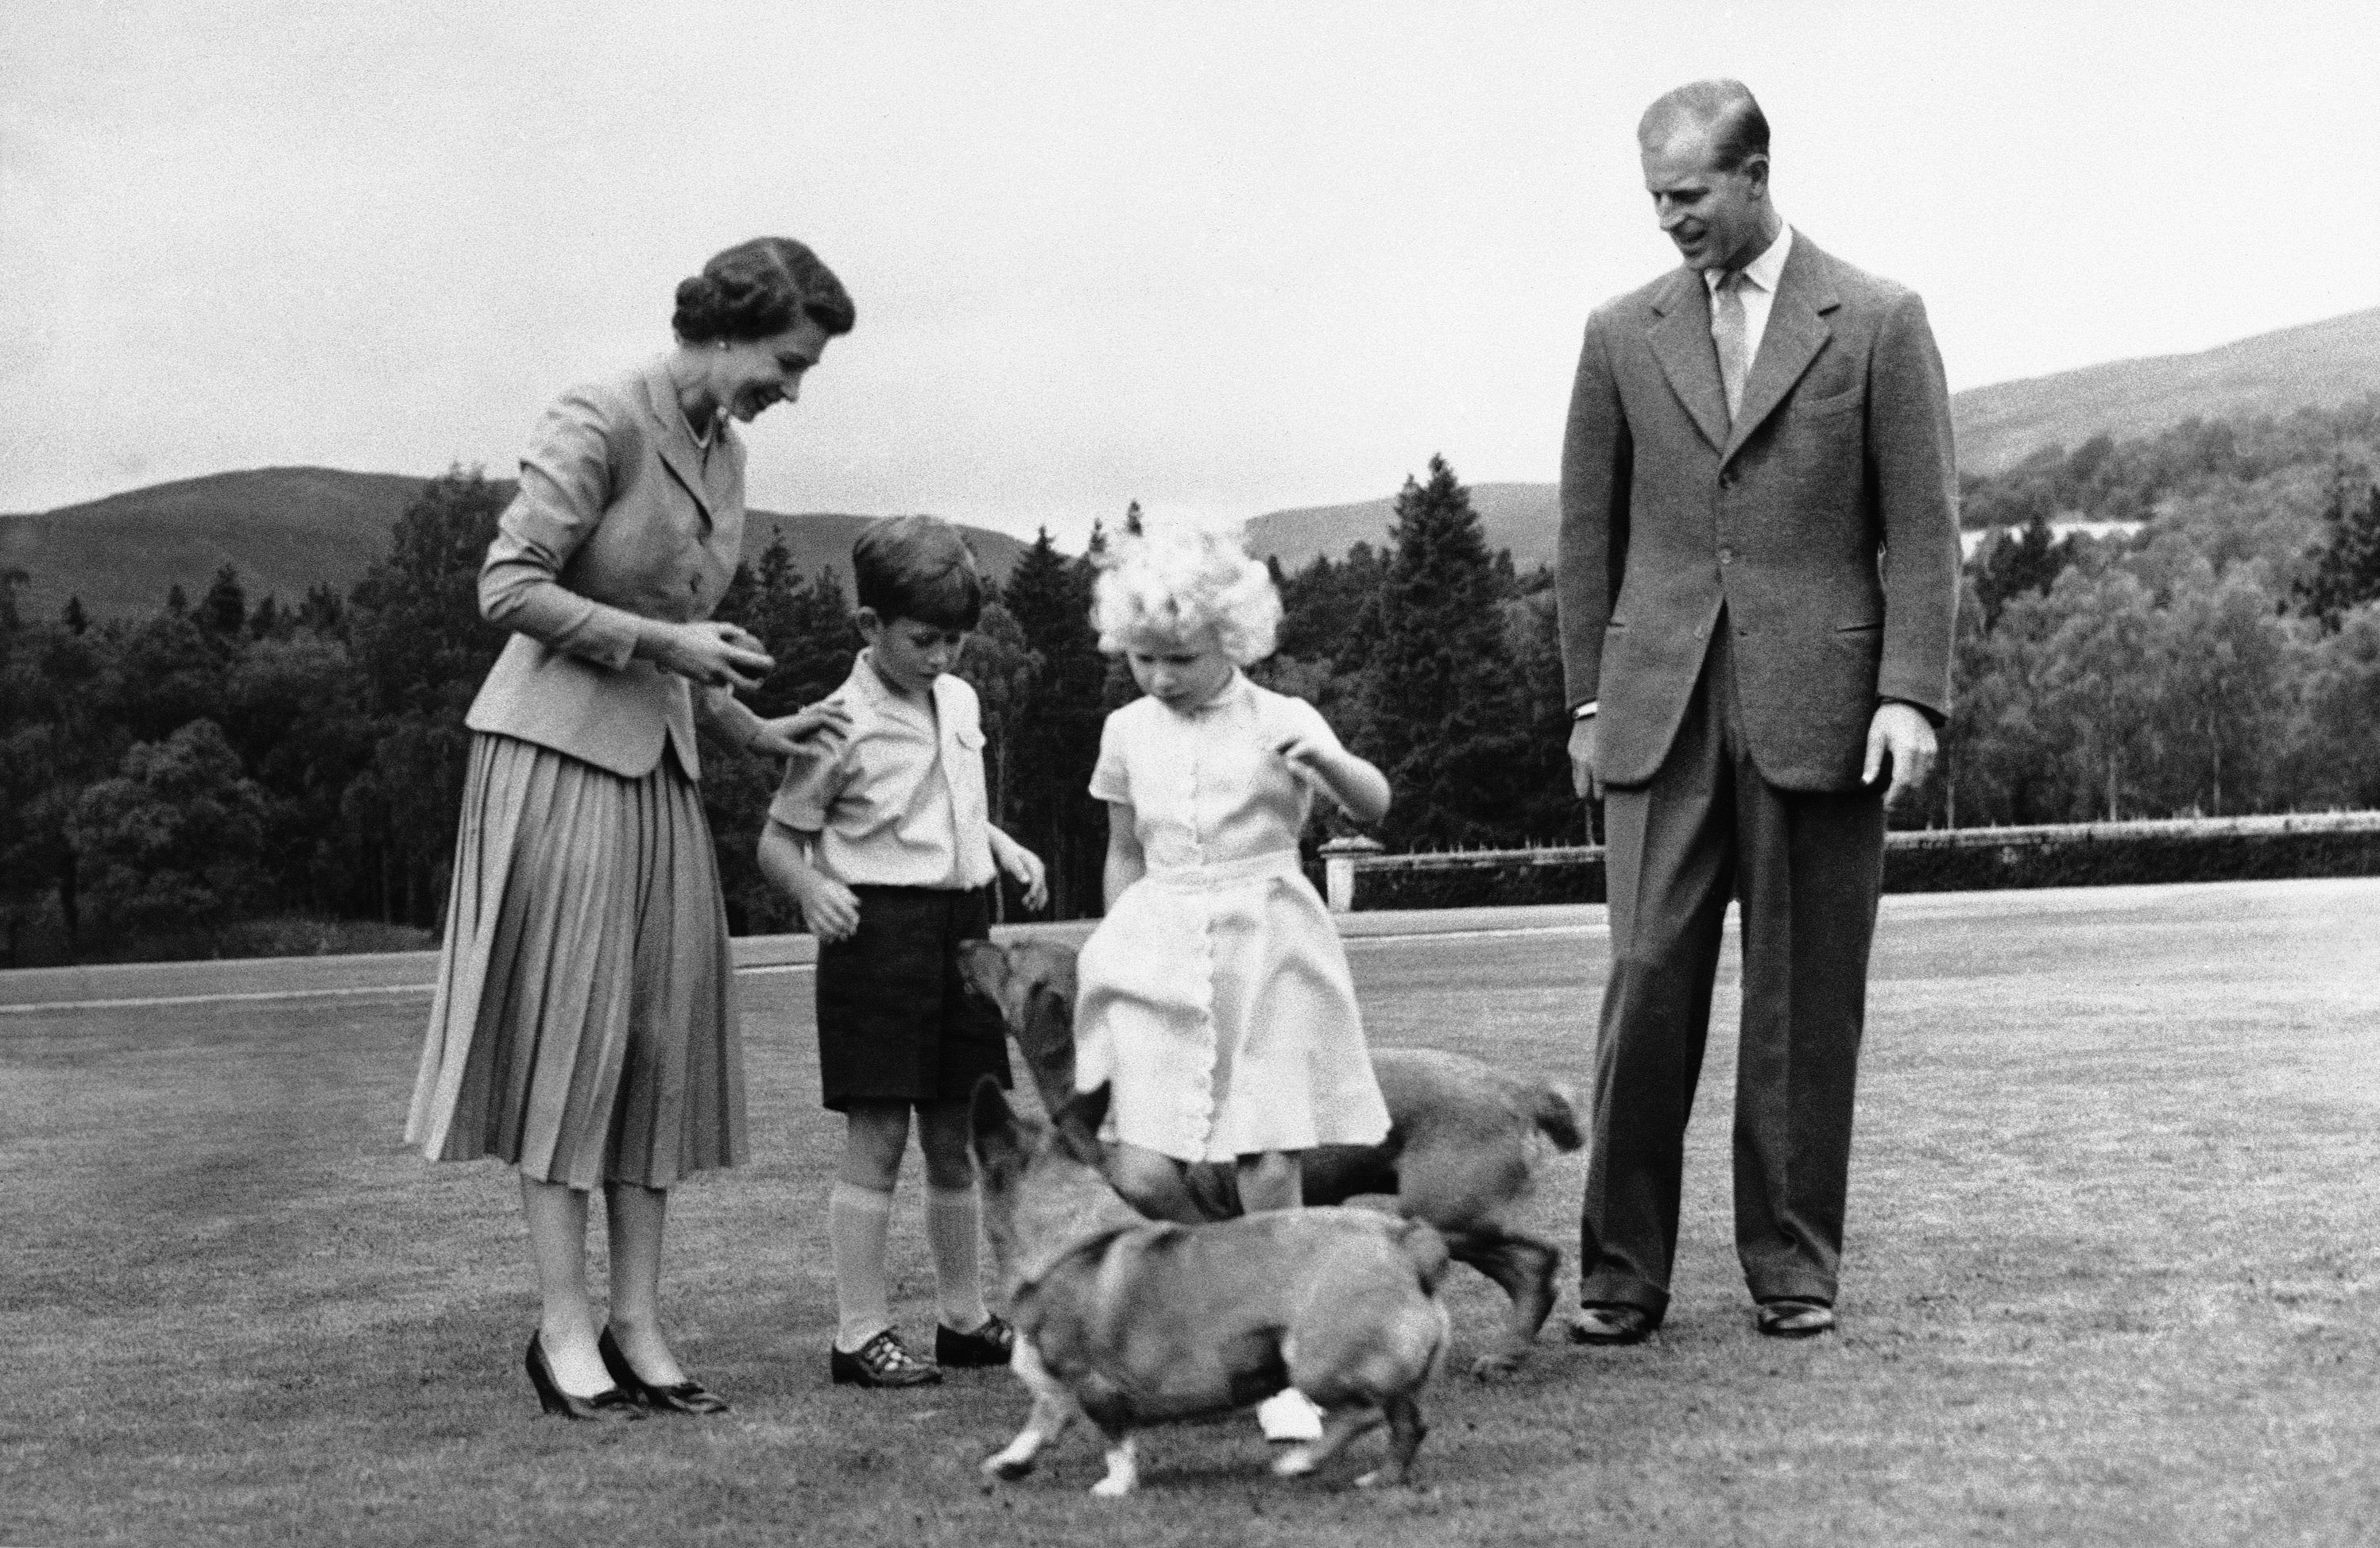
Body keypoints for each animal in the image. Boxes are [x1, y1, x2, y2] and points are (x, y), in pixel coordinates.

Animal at [956, 933, 1589, 1372]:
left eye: (1009, 954)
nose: (961, 943)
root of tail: (1517, 1088)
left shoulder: (1189, 1222)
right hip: (1452, 1219)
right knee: (1530, 1272)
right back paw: (1507, 1354)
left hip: (1449, 1213)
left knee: (1541, 1260)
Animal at [966, 1066, 1446, 1486]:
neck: (1069, 1234)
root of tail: (1408, 1246)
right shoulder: (1053, 1391)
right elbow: (1039, 1425)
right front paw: (1008, 1463)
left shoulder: (1093, 1384)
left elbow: (1115, 1442)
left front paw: (1114, 1487)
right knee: (1410, 1423)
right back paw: (1381, 1478)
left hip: (1314, 1363)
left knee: (1365, 1413)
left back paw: (1299, 1462)